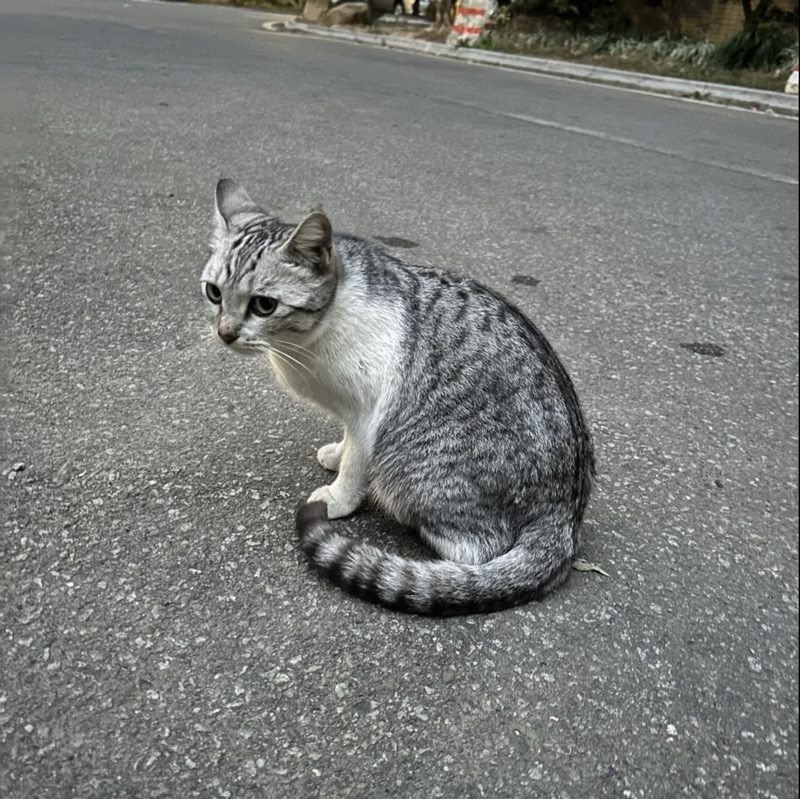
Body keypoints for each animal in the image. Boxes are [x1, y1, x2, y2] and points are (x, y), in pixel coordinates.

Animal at [202, 180, 592, 620]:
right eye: (214, 294)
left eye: (263, 305)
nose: (225, 333)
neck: (308, 340)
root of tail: (565, 517)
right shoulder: (351, 411)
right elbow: (347, 443)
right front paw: (337, 452)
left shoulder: (370, 414)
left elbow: (356, 463)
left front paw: (339, 496)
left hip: (408, 464)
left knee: (477, 552)